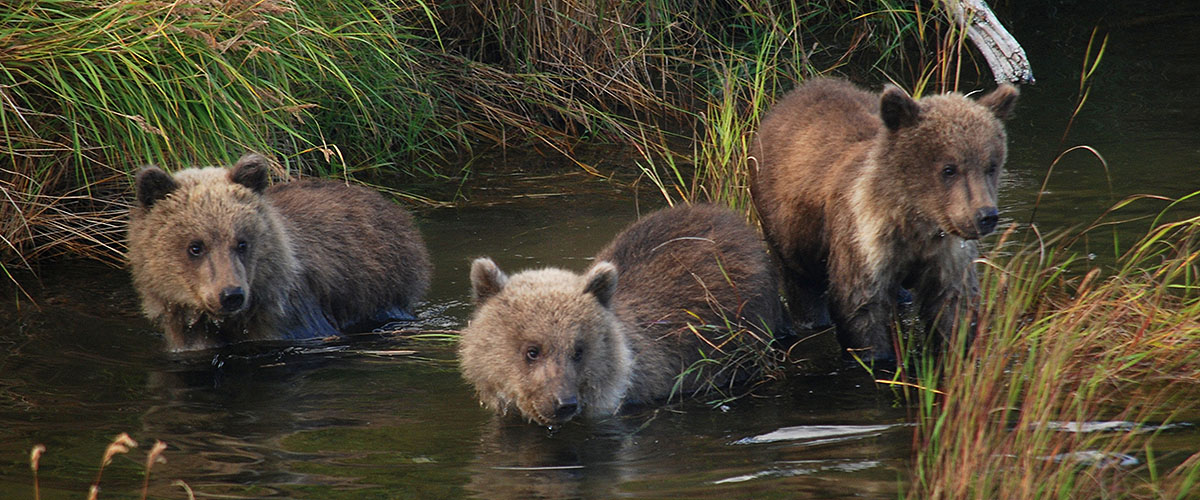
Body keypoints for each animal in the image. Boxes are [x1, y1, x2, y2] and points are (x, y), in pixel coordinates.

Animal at [749, 77, 1018, 362]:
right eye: (949, 169)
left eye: (990, 166)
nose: (985, 216)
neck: (914, 220)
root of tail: (795, 95)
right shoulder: (864, 238)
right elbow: (862, 307)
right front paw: (877, 356)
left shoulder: (947, 250)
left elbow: (953, 304)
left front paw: (954, 346)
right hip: (788, 228)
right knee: (802, 283)